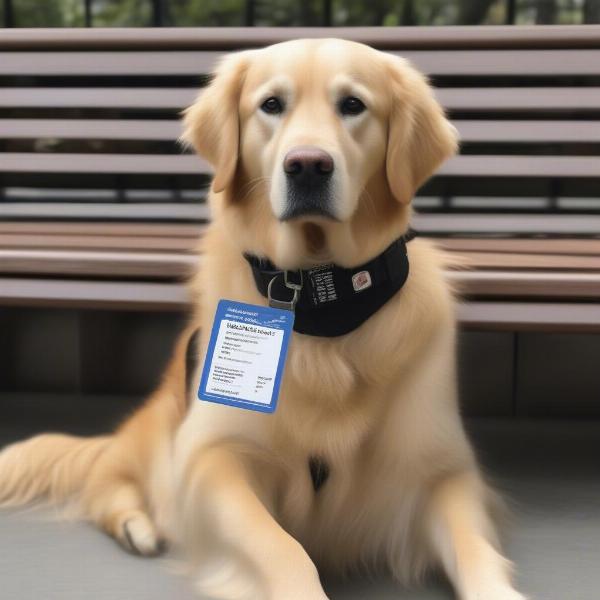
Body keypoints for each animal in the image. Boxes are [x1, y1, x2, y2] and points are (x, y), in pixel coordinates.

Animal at [0, 38, 524, 600]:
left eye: (353, 105)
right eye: (271, 105)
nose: (308, 165)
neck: (319, 297)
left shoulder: (441, 469)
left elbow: (476, 550)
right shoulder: (213, 455)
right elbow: (283, 549)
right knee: (108, 479)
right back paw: (136, 525)